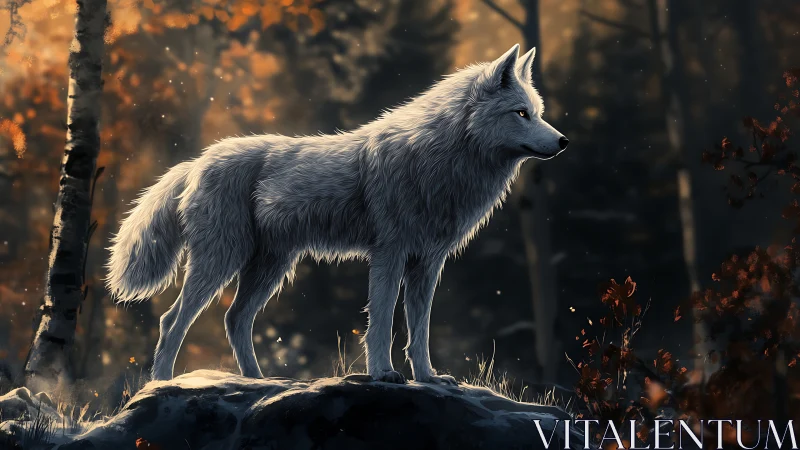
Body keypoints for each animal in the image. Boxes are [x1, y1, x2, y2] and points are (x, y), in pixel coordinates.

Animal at [107, 44, 568, 384]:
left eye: (538, 113)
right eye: (521, 113)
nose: (563, 141)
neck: (439, 158)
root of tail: (196, 161)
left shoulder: (428, 263)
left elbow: (419, 330)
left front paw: (428, 377)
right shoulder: (389, 255)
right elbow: (382, 322)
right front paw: (383, 374)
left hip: (270, 267)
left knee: (235, 318)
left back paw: (258, 382)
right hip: (224, 260)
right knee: (172, 320)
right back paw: (161, 384)